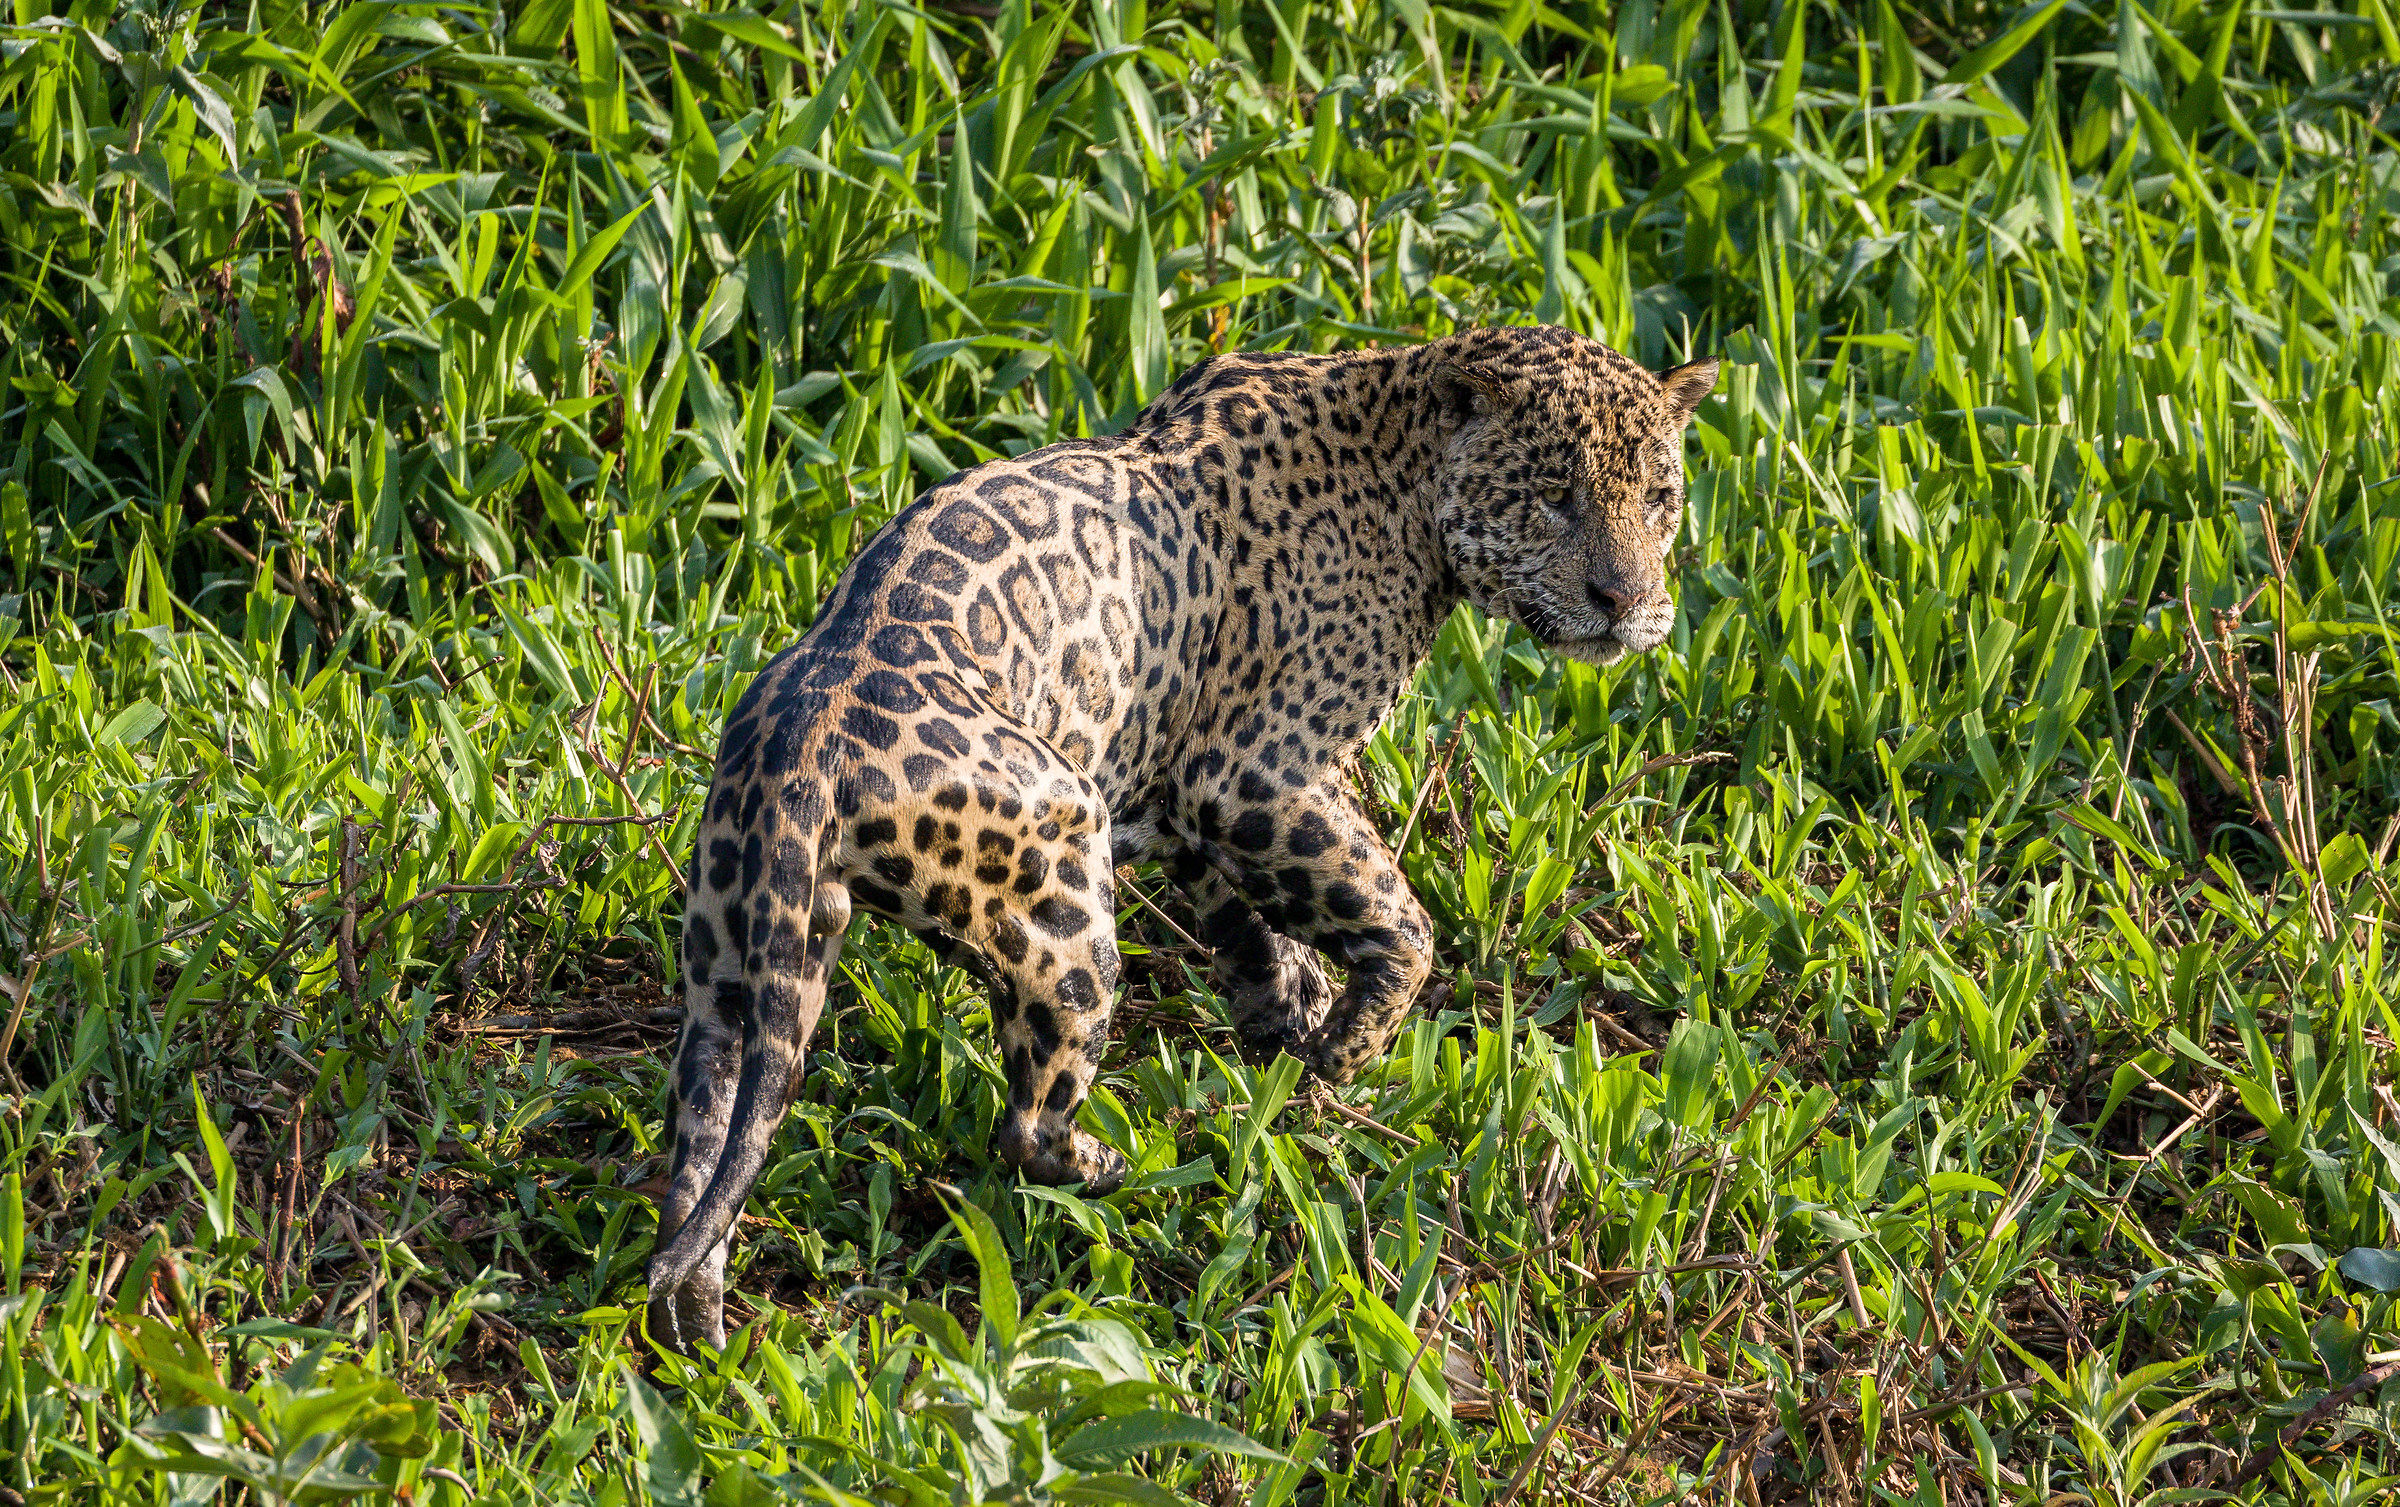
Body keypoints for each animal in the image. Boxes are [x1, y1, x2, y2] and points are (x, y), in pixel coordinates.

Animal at [644, 323, 1716, 1351]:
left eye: (1661, 497)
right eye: (1553, 497)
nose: (1626, 602)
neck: (1404, 468)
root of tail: (808, 735)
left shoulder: (1197, 805)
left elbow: (1260, 930)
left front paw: (1290, 1034)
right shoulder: (1255, 771)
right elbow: (1395, 915)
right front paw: (1344, 1051)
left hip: (740, 957)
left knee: (707, 1138)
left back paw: (693, 1327)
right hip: (1063, 896)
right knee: (1027, 1121)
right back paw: (1127, 1164)